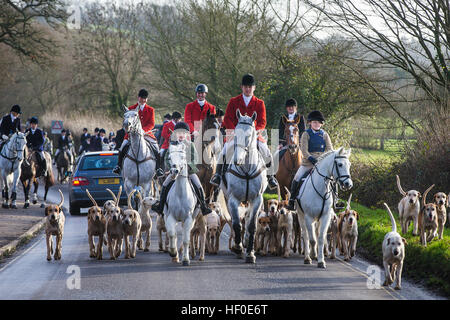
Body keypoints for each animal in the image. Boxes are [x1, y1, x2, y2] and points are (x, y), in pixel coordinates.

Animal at [221, 109, 268, 262]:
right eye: (235, 134)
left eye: (248, 136)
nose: (237, 160)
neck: (246, 168)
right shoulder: (233, 199)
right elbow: (236, 223)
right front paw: (238, 247)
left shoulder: (257, 199)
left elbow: (252, 225)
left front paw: (250, 253)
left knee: (248, 220)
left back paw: (247, 241)